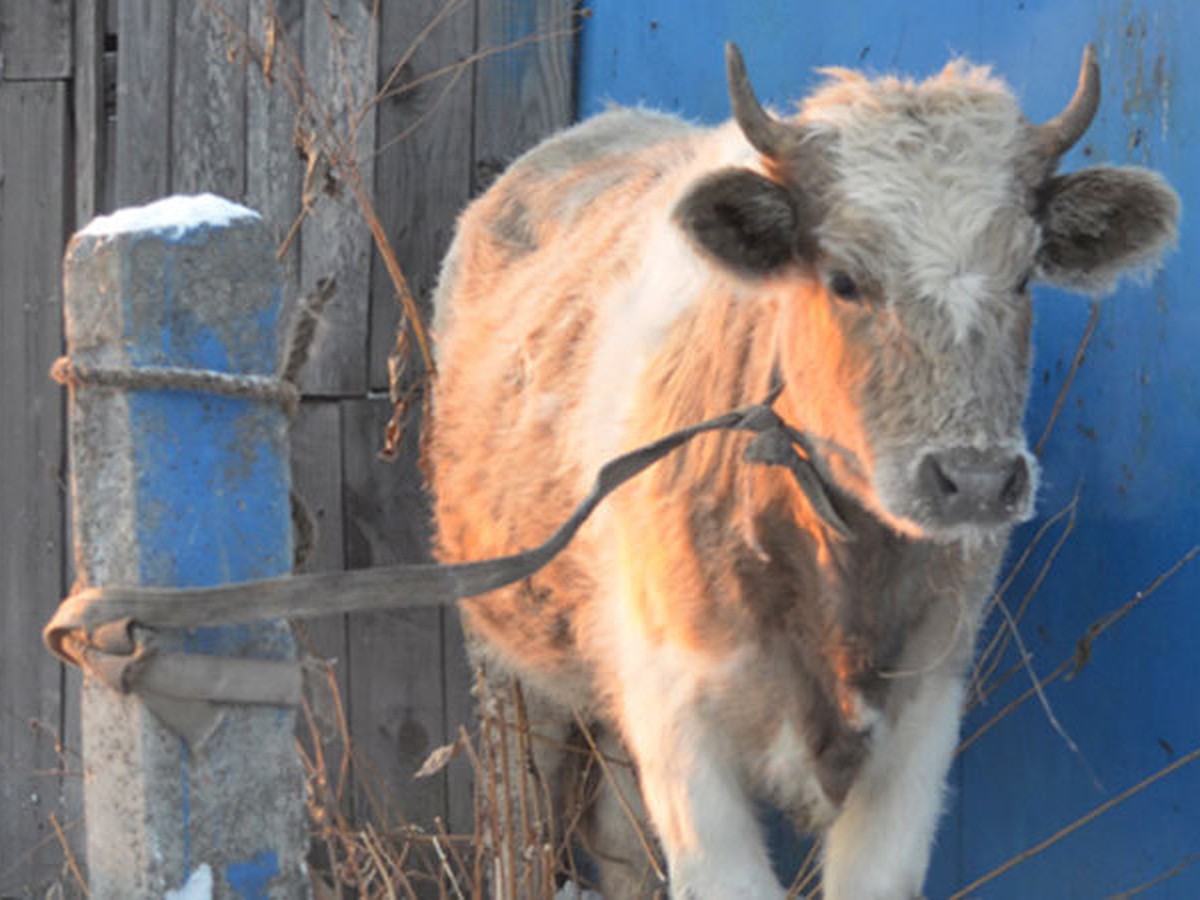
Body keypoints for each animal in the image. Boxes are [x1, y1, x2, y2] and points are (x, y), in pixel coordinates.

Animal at [424, 44, 1180, 900]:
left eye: (1023, 276)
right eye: (844, 279)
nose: (977, 480)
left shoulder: (920, 718)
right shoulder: (680, 724)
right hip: (509, 668)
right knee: (520, 818)